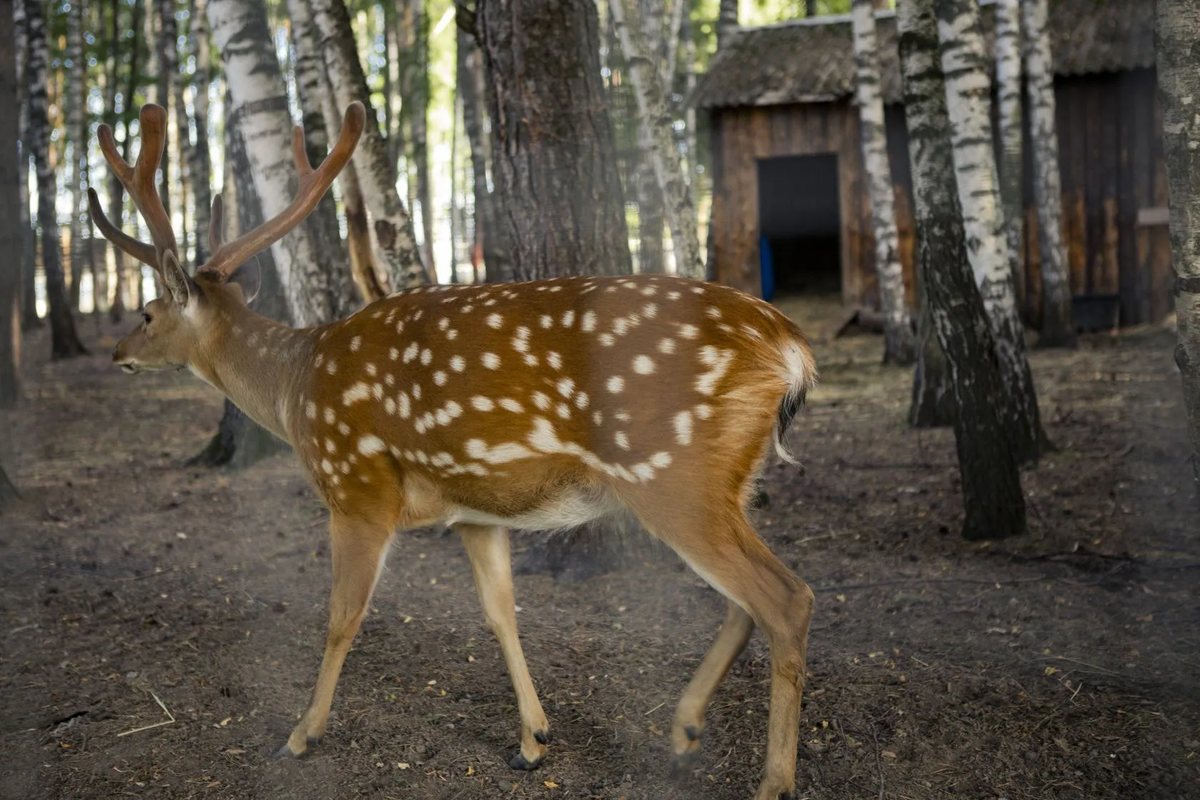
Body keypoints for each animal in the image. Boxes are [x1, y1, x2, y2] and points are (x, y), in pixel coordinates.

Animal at [89, 102, 819, 800]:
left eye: (148, 312)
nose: (117, 351)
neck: (296, 390)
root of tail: (789, 345)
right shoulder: (474, 512)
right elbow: (501, 614)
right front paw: (532, 740)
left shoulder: (356, 489)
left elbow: (342, 617)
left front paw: (300, 734)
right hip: (723, 482)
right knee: (746, 602)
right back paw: (685, 727)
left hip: (674, 474)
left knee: (786, 598)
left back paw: (772, 780)